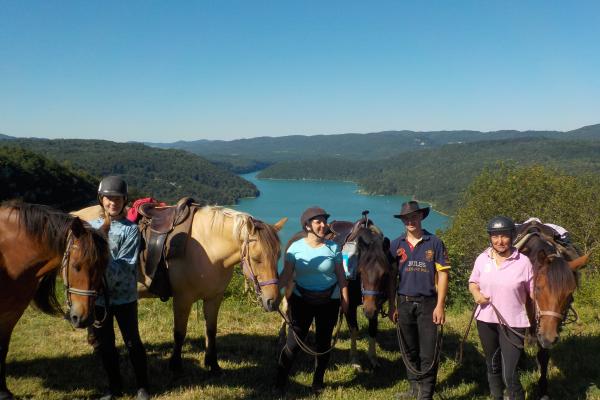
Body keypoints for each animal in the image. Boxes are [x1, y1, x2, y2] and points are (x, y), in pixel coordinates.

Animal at [0, 203, 109, 400]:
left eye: (104, 266)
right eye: (76, 266)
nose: (84, 318)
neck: (7, 254)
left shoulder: (11, 311)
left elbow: (2, 348)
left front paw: (3, 391)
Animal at [510, 220, 592, 398]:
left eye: (570, 293)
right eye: (538, 288)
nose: (548, 338)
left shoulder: (551, 325)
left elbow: (543, 355)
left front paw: (543, 391)